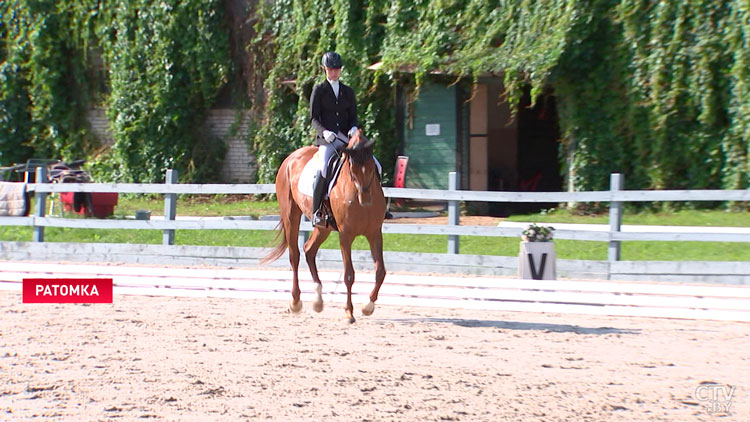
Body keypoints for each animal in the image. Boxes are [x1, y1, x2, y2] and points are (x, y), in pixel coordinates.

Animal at [262, 130, 388, 324]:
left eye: (371, 166)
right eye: (352, 167)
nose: (365, 200)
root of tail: (290, 158)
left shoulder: (374, 233)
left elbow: (380, 271)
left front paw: (368, 307)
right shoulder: (345, 235)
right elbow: (349, 275)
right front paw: (349, 312)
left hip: (323, 227)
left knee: (309, 250)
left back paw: (318, 301)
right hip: (291, 216)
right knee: (295, 255)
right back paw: (296, 302)